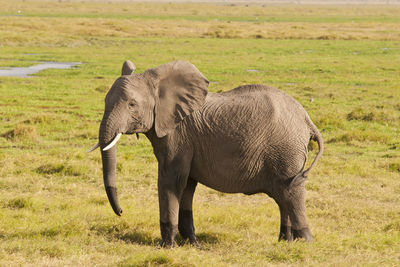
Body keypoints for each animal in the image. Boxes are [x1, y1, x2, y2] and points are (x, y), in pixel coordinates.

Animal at [87, 59, 322, 248]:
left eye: (132, 104)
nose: (121, 212)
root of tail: (307, 119)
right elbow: (187, 187)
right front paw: (192, 244)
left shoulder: (178, 136)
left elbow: (171, 181)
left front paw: (166, 246)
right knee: (282, 195)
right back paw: (285, 242)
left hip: (286, 150)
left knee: (292, 192)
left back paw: (306, 242)